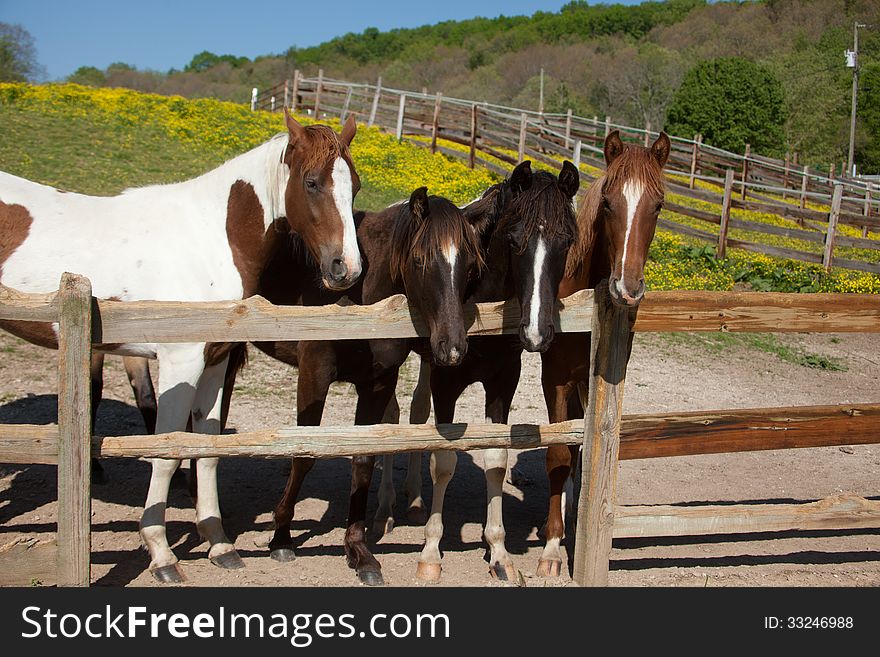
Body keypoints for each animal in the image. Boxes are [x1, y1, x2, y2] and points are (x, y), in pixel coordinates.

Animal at [0, 110, 364, 580]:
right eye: (312, 182)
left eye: (355, 185)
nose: (346, 269)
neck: (209, 240)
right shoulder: (180, 364)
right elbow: (167, 452)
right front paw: (161, 553)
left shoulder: (214, 363)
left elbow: (206, 451)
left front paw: (219, 543)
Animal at [416, 161, 580, 580]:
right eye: (514, 240)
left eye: (566, 242)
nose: (536, 332)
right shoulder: (445, 382)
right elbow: (443, 461)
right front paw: (430, 552)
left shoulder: (503, 382)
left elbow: (495, 459)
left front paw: (500, 553)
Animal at [532, 131, 672, 576]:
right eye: (608, 202)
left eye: (658, 205)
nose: (627, 288)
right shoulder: (556, 379)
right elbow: (559, 454)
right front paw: (552, 547)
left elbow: (586, 450)